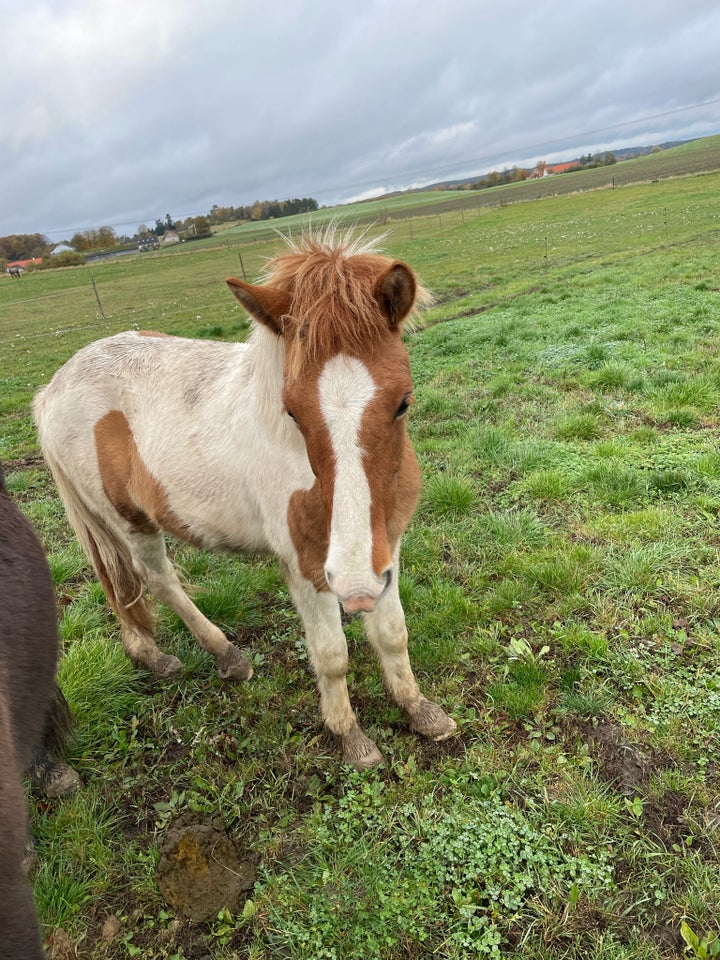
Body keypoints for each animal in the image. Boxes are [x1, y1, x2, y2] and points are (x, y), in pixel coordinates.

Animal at [35, 229, 456, 768]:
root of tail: (52, 389)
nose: (356, 589)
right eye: (292, 411)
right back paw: (223, 656)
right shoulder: (307, 567)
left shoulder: (387, 549)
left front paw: (421, 711)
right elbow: (331, 655)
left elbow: (392, 633)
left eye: (403, 401)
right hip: (129, 520)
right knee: (154, 579)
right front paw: (350, 737)